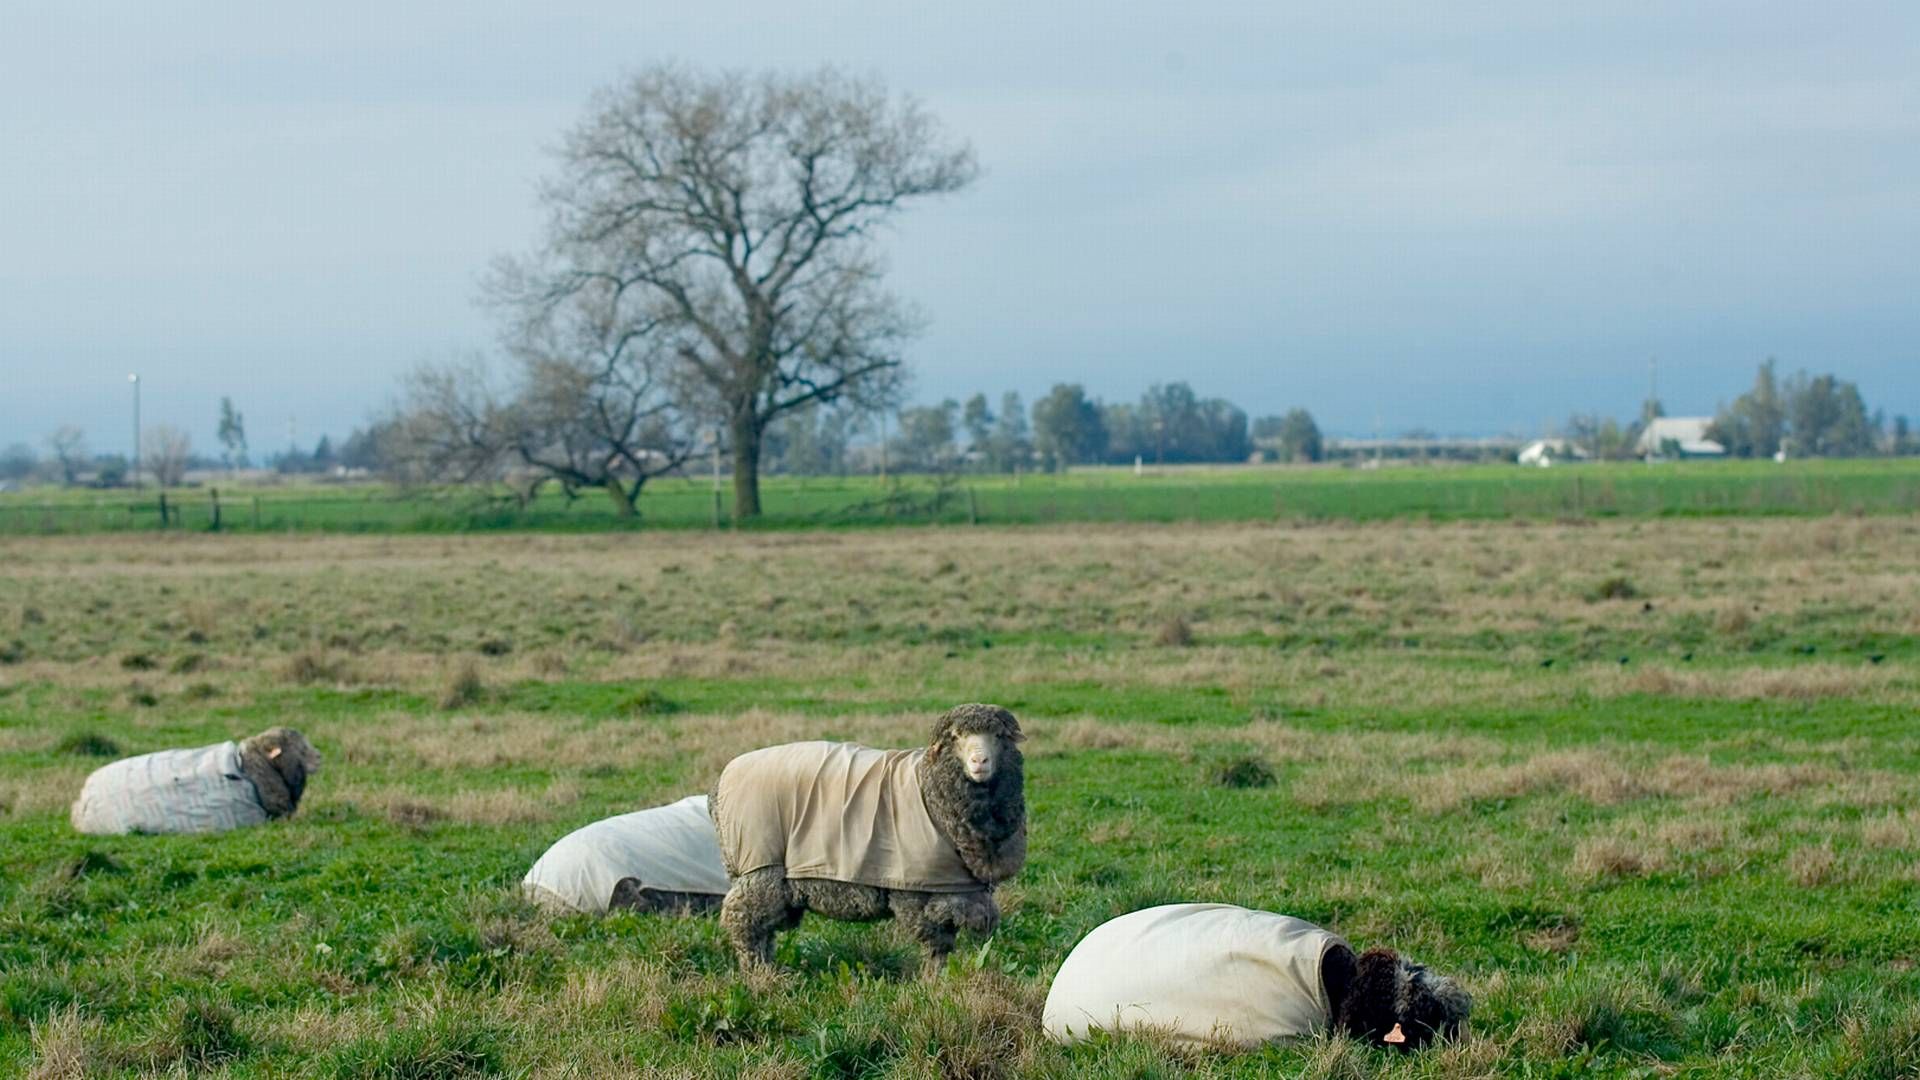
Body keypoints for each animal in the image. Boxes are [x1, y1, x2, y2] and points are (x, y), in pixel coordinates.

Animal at [710, 703, 1036, 972]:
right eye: (956, 737)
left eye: (998, 736)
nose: (980, 761)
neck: (929, 791)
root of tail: (721, 781)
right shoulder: (913, 891)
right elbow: (935, 942)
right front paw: (933, 981)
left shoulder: (957, 888)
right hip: (761, 869)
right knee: (744, 920)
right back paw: (760, 975)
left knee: (764, 927)